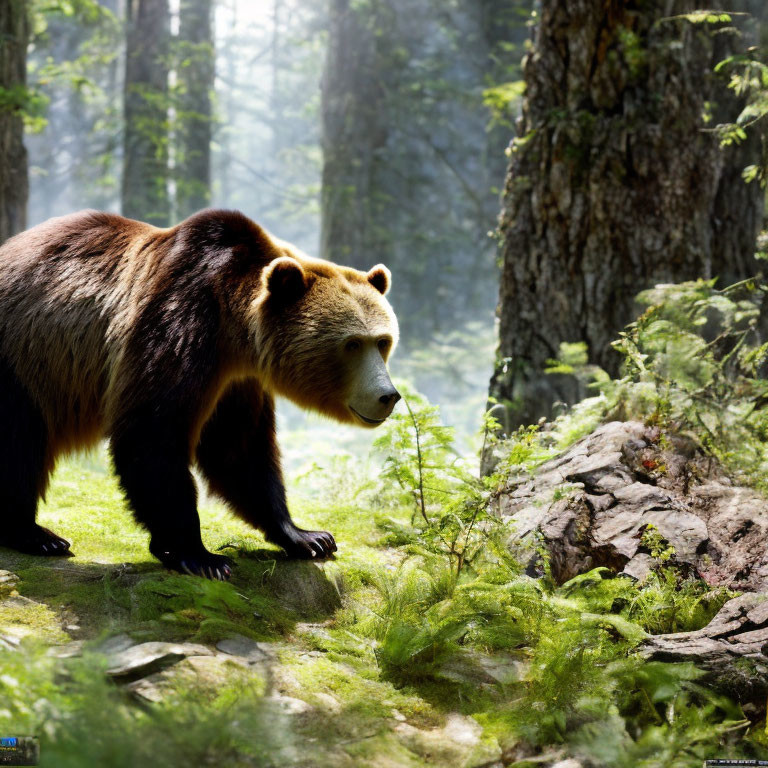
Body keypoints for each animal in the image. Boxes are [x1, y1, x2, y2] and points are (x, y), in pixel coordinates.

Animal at [0, 207, 402, 580]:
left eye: (383, 341)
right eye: (352, 344)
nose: (388, 395)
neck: (233, 329)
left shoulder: (236, 382)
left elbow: (239, 450)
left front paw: (308, 537)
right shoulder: (179, 325)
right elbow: (152, 434)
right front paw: (200, 556)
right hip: (25, 357)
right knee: (20, 441)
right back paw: (37, 535)